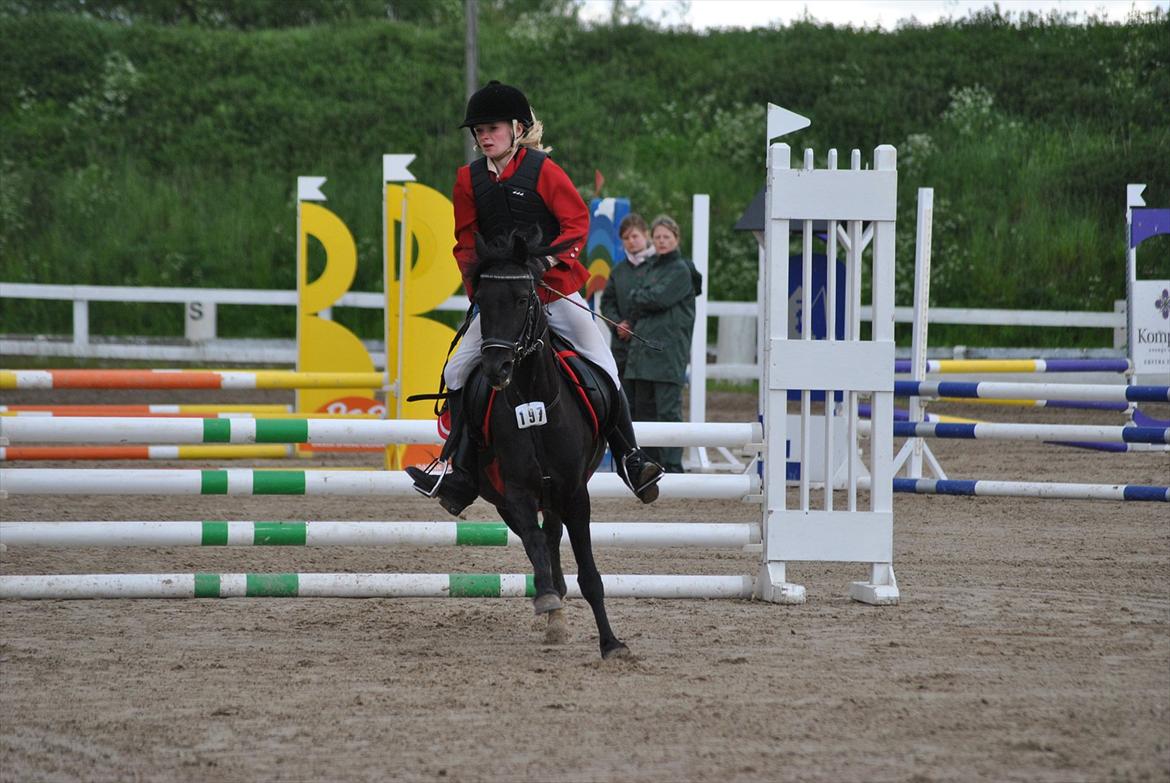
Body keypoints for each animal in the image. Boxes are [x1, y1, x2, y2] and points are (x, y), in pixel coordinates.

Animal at [467, 229, 627, 655]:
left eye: (524, 298)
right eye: (480, 301)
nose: (496, 368)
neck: (533, 400)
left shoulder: (574, 493)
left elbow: (589, 574)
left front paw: (611, 643)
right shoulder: (517, 492)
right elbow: (535, 543)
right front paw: (547, 597)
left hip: (557, 494)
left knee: (553, 534)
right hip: (507, 496)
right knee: (539, 538)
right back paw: (553, 607)